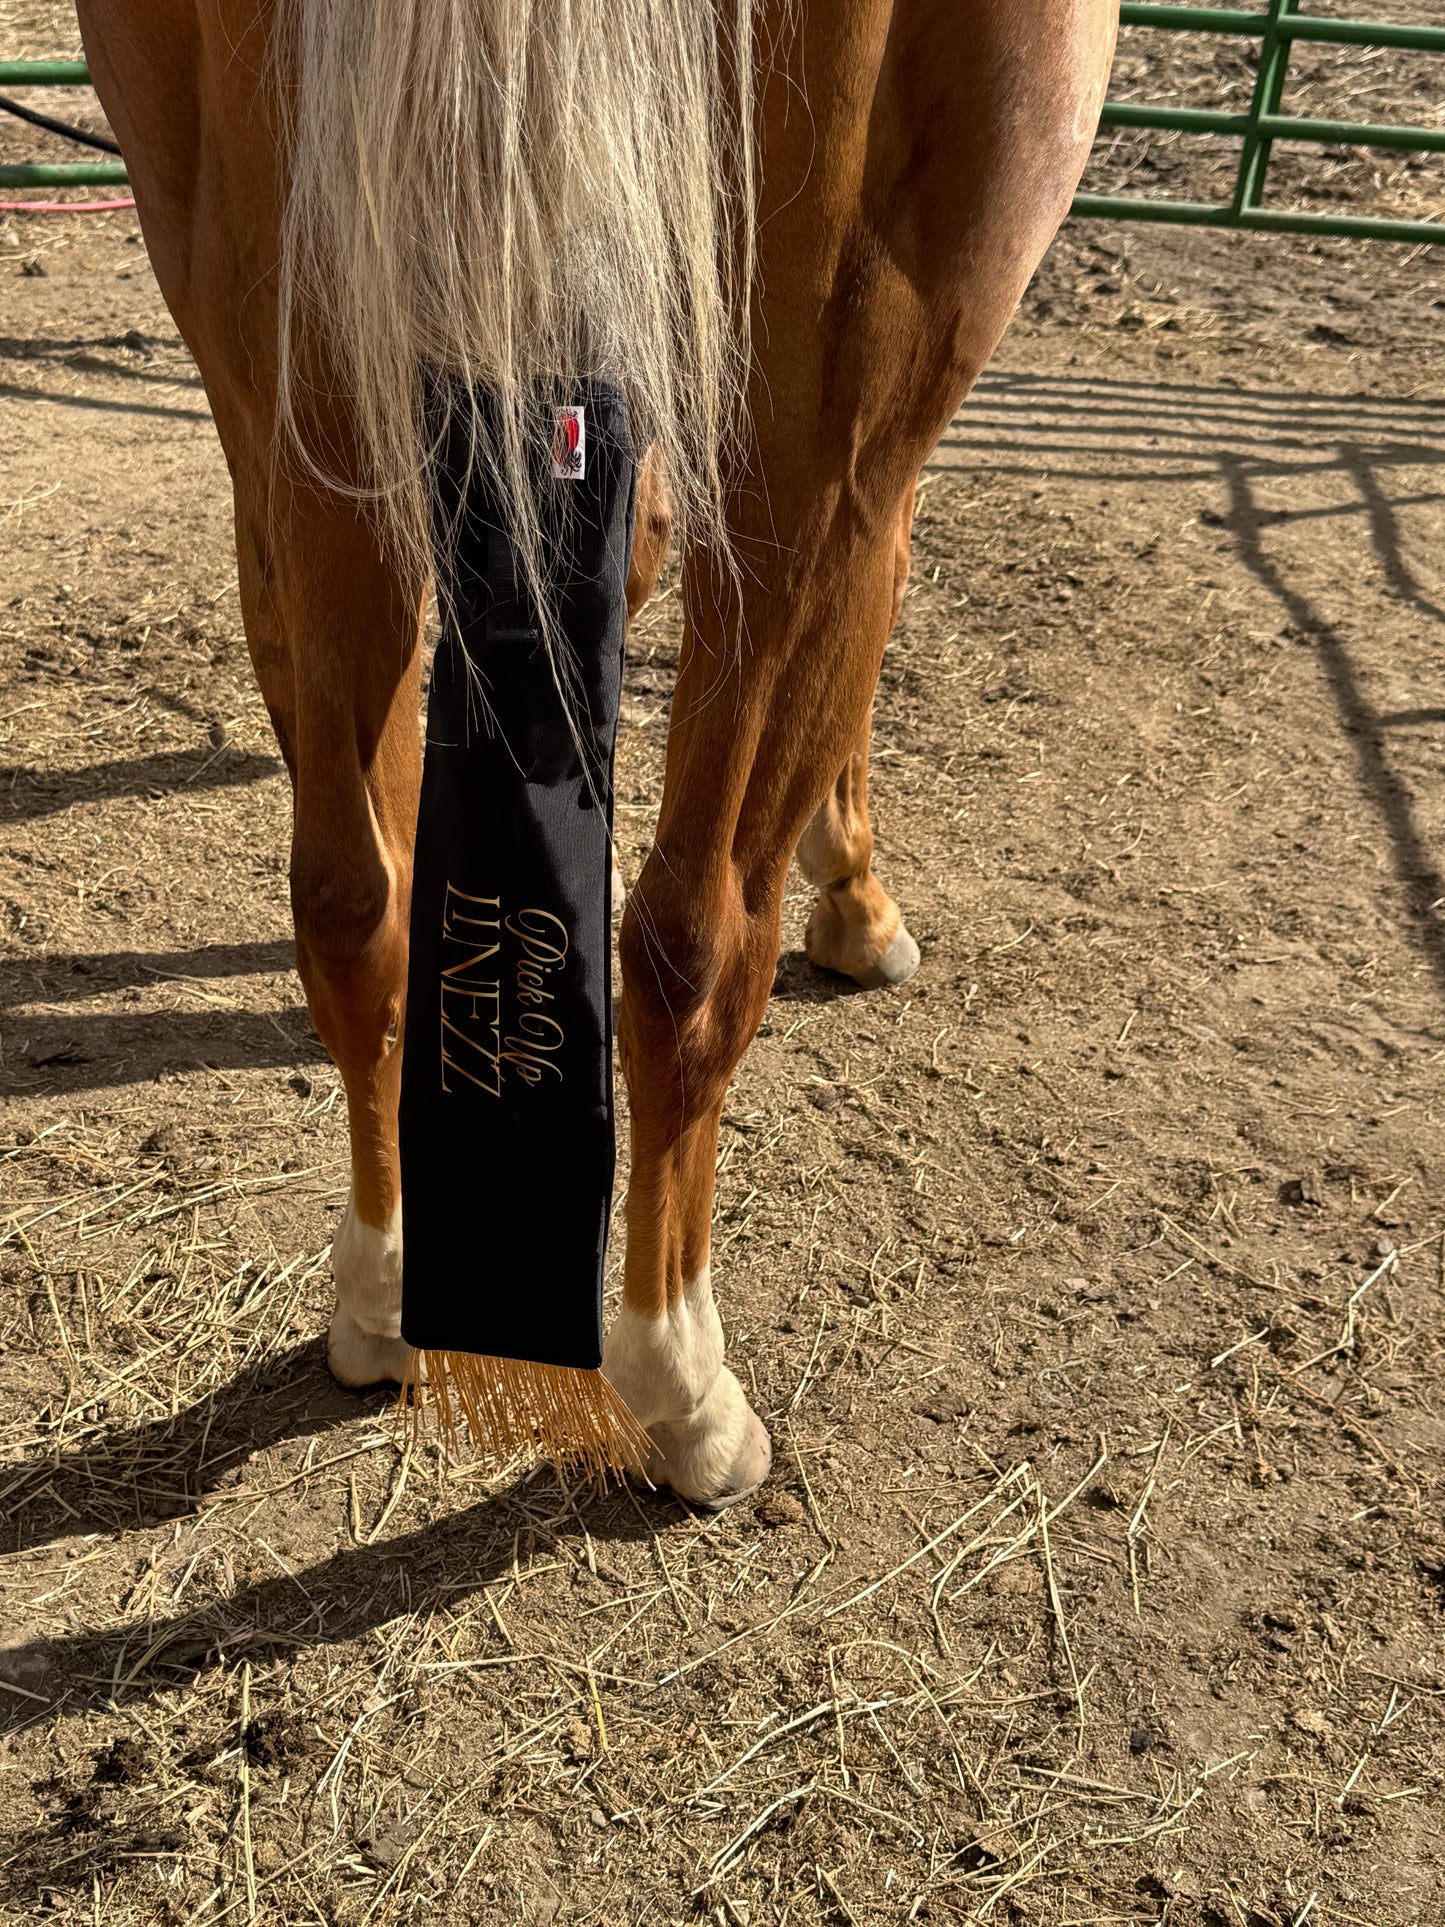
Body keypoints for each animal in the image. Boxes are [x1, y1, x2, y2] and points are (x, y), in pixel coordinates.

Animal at [72, 0, 1116, 1506]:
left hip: (283, 368)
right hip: (840, 399)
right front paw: (857, 901)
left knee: (355, 900)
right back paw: (684, 1390)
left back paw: (382, 1295)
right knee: (692, 940)